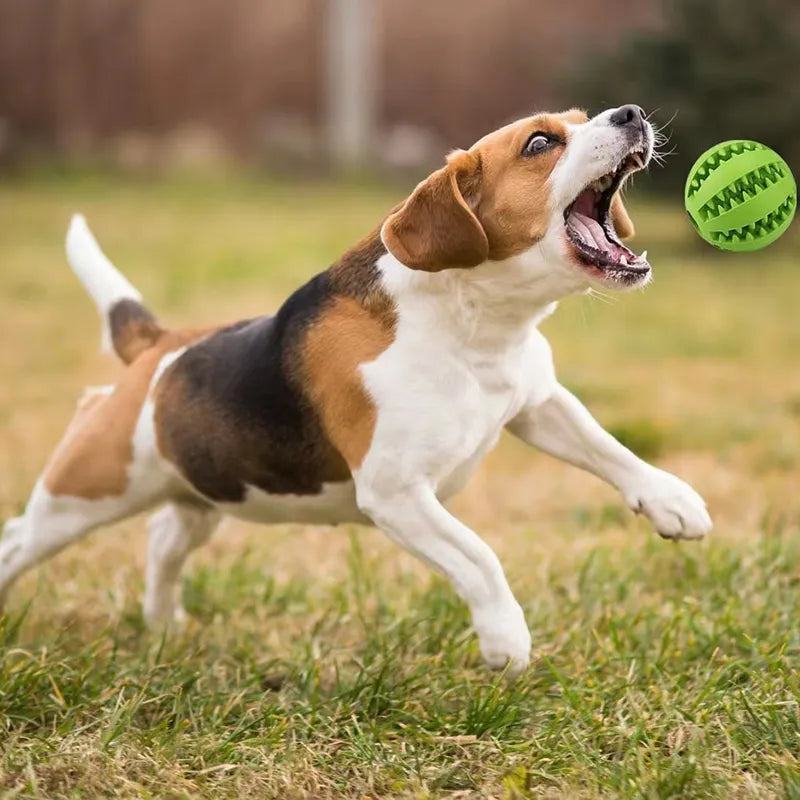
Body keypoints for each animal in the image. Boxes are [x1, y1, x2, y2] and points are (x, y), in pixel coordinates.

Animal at [0, 103, 712, 672]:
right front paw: (505, 639)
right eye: (540, 143)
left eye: (582, 117)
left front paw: (672, 501)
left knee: (162, 539)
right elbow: (479, 555)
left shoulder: (537, 403)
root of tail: (157, 346)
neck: (475, 325)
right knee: (17, 540)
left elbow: (608, 448)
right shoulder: (397, 494)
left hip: (200, 491)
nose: (631, 113)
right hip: (80, 494)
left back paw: (163, 626)